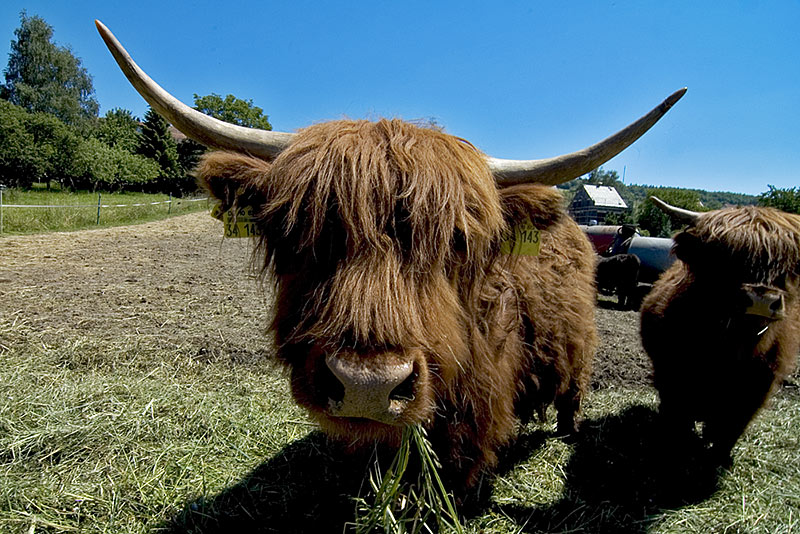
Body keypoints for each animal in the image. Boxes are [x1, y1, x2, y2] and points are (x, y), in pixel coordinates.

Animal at [97, 21, 688, 488]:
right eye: (299, 229)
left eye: (457, 240)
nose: (368, 388)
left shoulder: (477, 414)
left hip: (579, 344)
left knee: (573, 387)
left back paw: (567, 430)